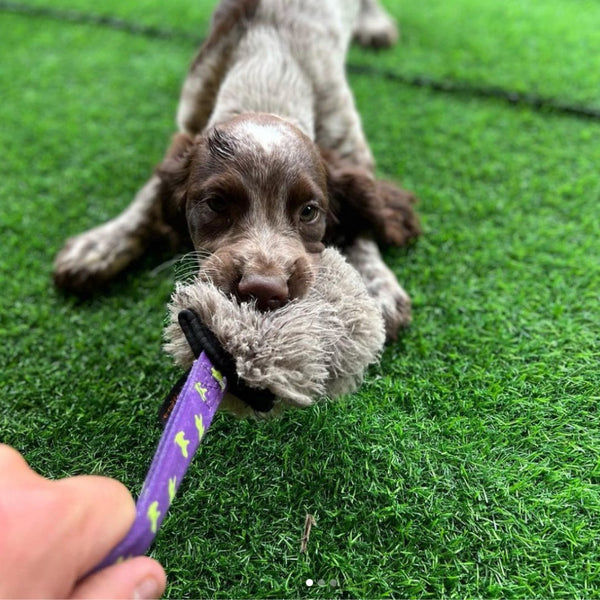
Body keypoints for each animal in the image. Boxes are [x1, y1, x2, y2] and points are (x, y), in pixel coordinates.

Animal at [55, 0, 422, 340]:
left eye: (308, 211)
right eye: (217, 204)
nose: (263, 290)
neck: (271, 71)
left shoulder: (348, 143)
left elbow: (366, 216)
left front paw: (373, 287)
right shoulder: (189, 120)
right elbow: (150, 195)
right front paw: (99, 246)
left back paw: (373, 23)